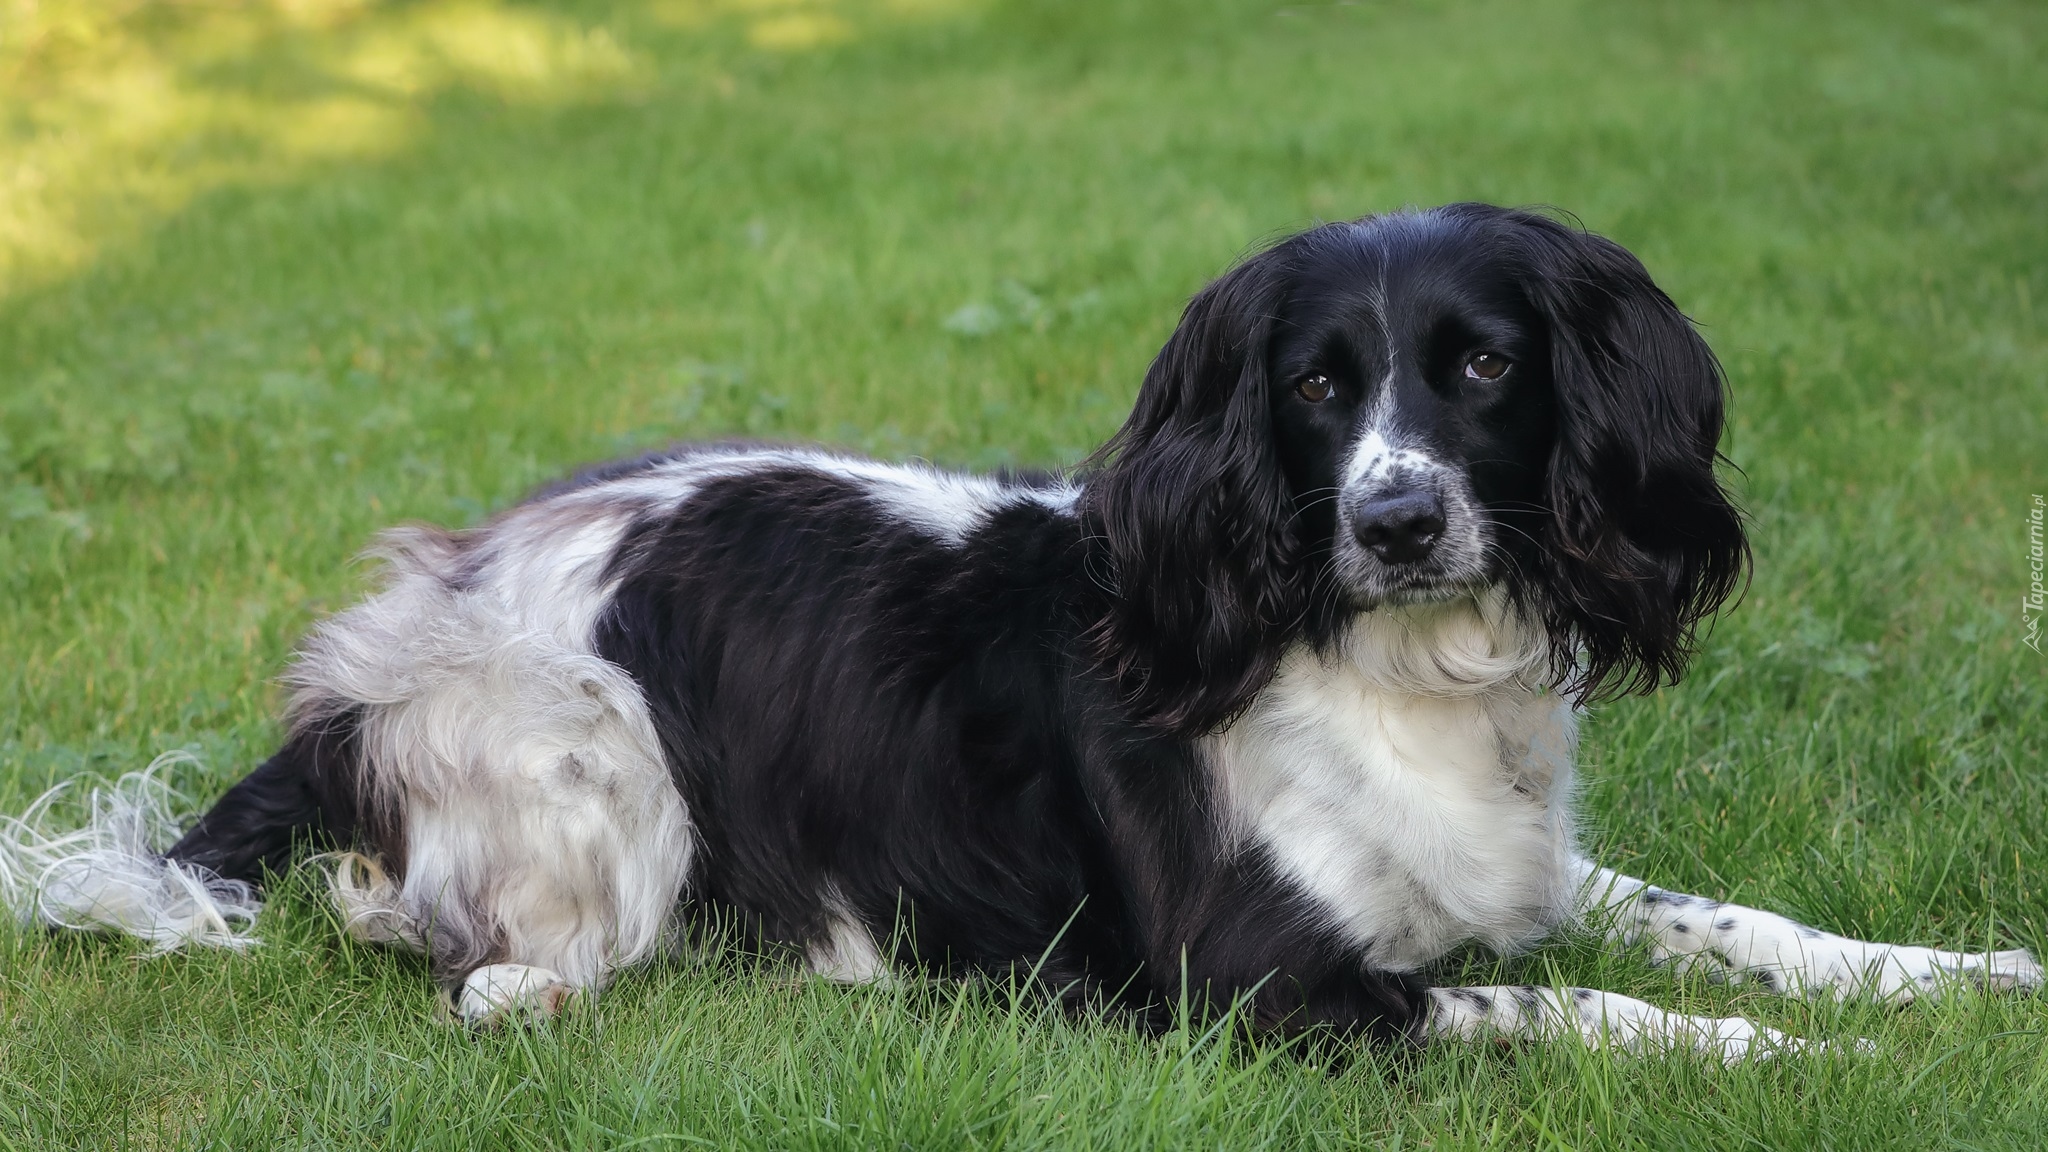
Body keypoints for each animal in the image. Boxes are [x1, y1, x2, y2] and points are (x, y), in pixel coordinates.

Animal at [0, 201, 2031, 1057]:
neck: (1384, 666)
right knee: (446, 940)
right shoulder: (1252, 985)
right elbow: (1576, 999)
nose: (1394, 522)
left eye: (1482, 366)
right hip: (597, 755)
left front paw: (1951, 981)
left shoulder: (1513, 865)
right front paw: (1784, 1064)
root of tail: (383, 633)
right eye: (1315, 385)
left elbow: (1724, 921)